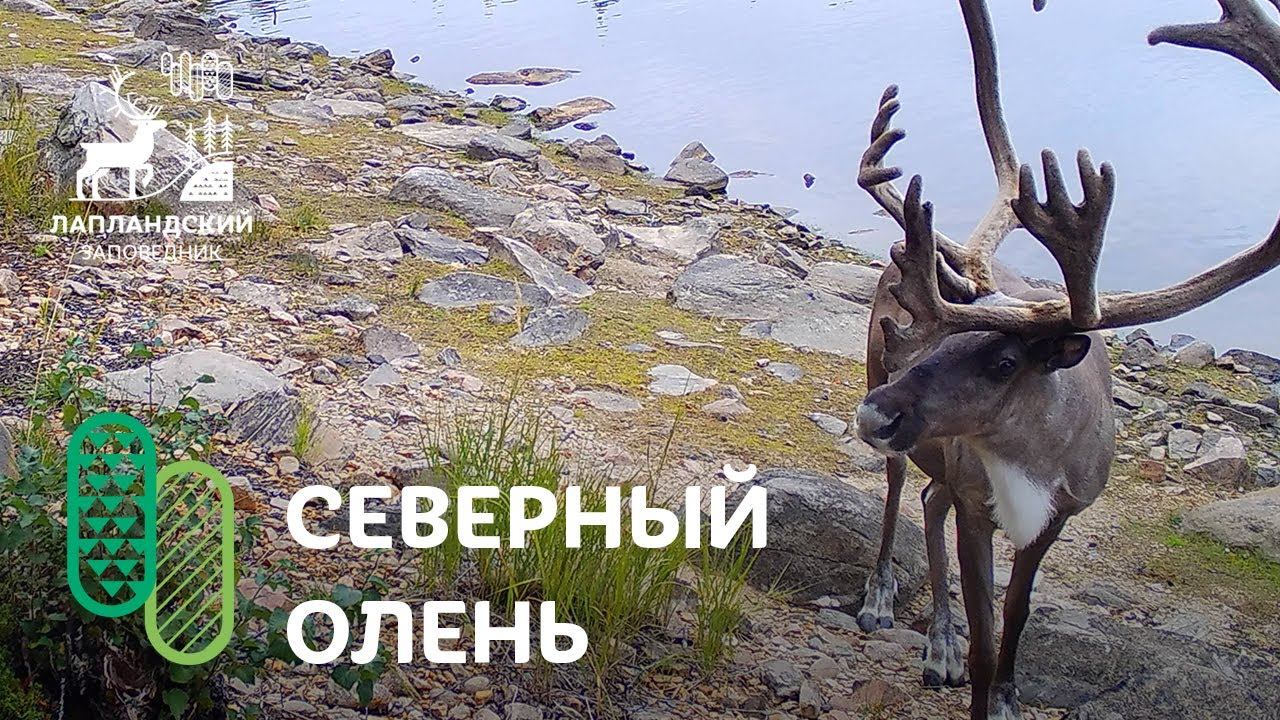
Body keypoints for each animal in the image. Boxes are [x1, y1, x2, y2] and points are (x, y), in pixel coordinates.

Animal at [76, 70, 169, 201]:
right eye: (147, 123)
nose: (163, 124)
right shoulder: (134, 164)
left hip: (102, 167)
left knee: (90, 178)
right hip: (95, 164)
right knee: (81, 174)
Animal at [849, 1, 1280, 719]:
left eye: (1004, 362)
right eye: (938, 343)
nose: (875, 414)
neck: (1030, 464)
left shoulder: (1060, 513)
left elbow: (1017, 617)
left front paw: (1004, 696)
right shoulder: (978, 502)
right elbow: (985, 638)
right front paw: (973, 671)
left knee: (931, 500)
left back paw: (937, 643)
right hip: (888, 399)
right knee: (902, 488)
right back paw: (889, 605)